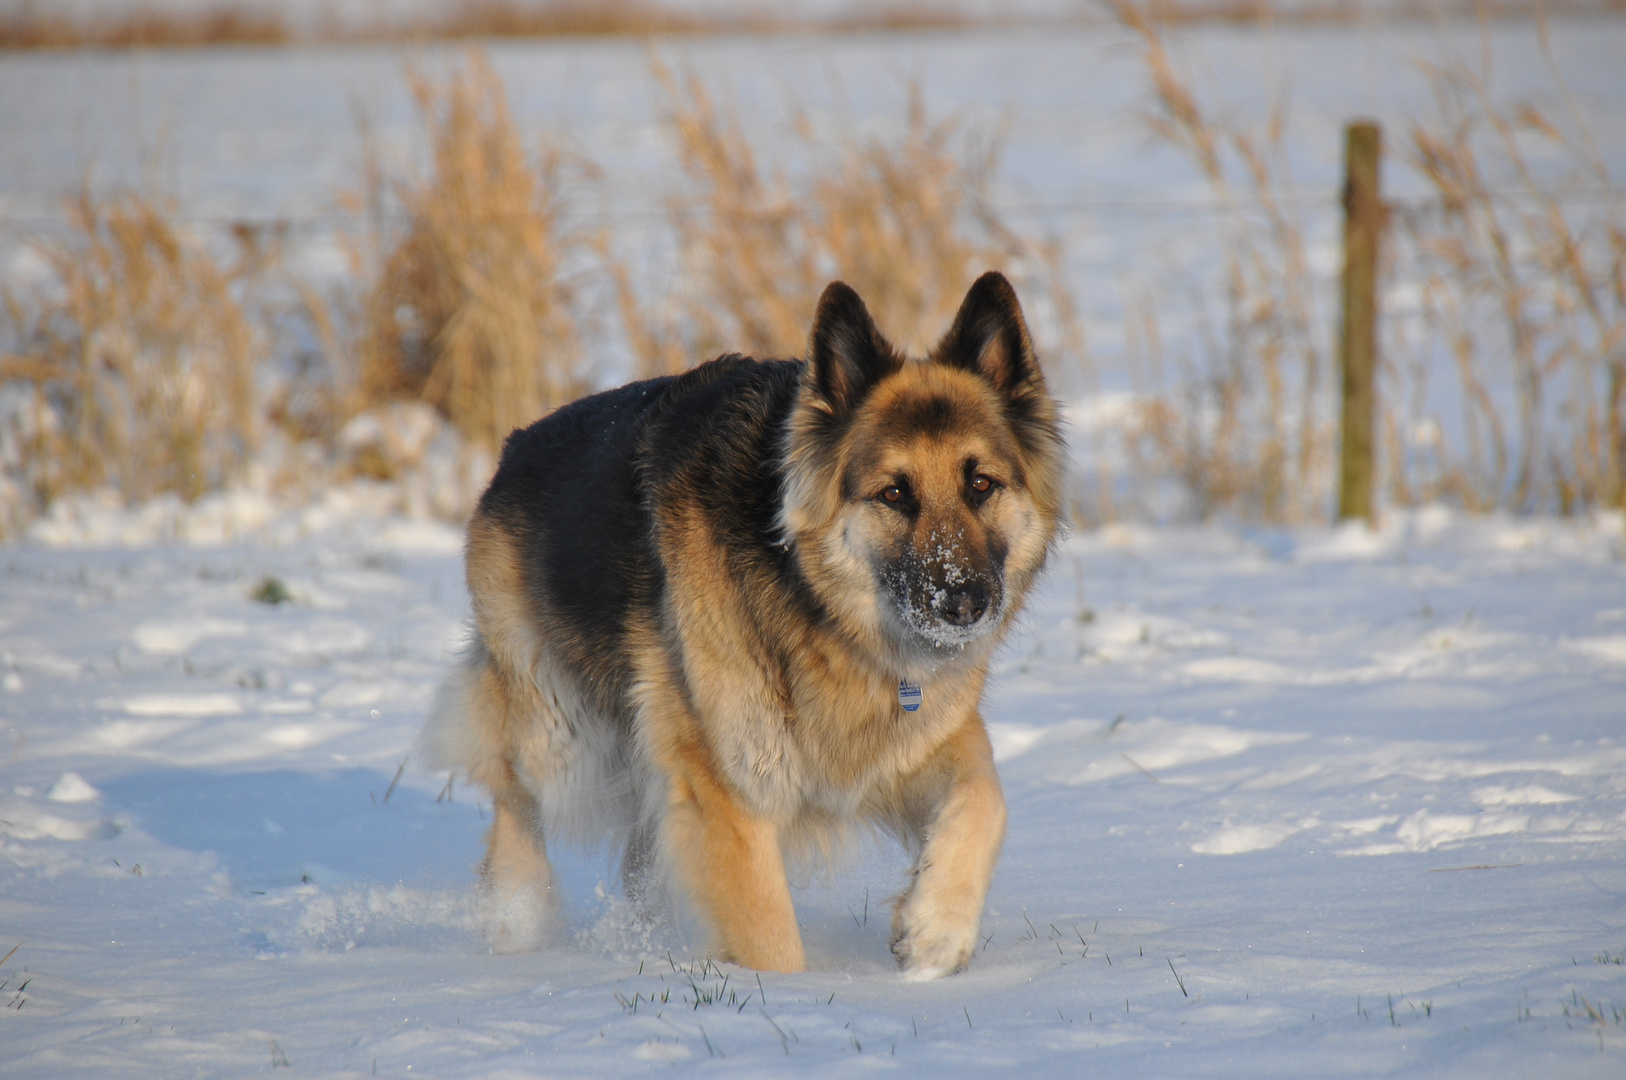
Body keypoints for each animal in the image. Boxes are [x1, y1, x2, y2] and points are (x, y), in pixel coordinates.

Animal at [422, 271, 1066, 975]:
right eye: (894, 494)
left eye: (981, 484)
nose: (964, 603)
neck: (815, 608)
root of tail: (515, 446)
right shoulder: (727, 790)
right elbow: (768, 937)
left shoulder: (925, 739)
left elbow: (986, 800)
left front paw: (935, 931)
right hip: (561, 734)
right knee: (517, 798)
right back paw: (515, 920)